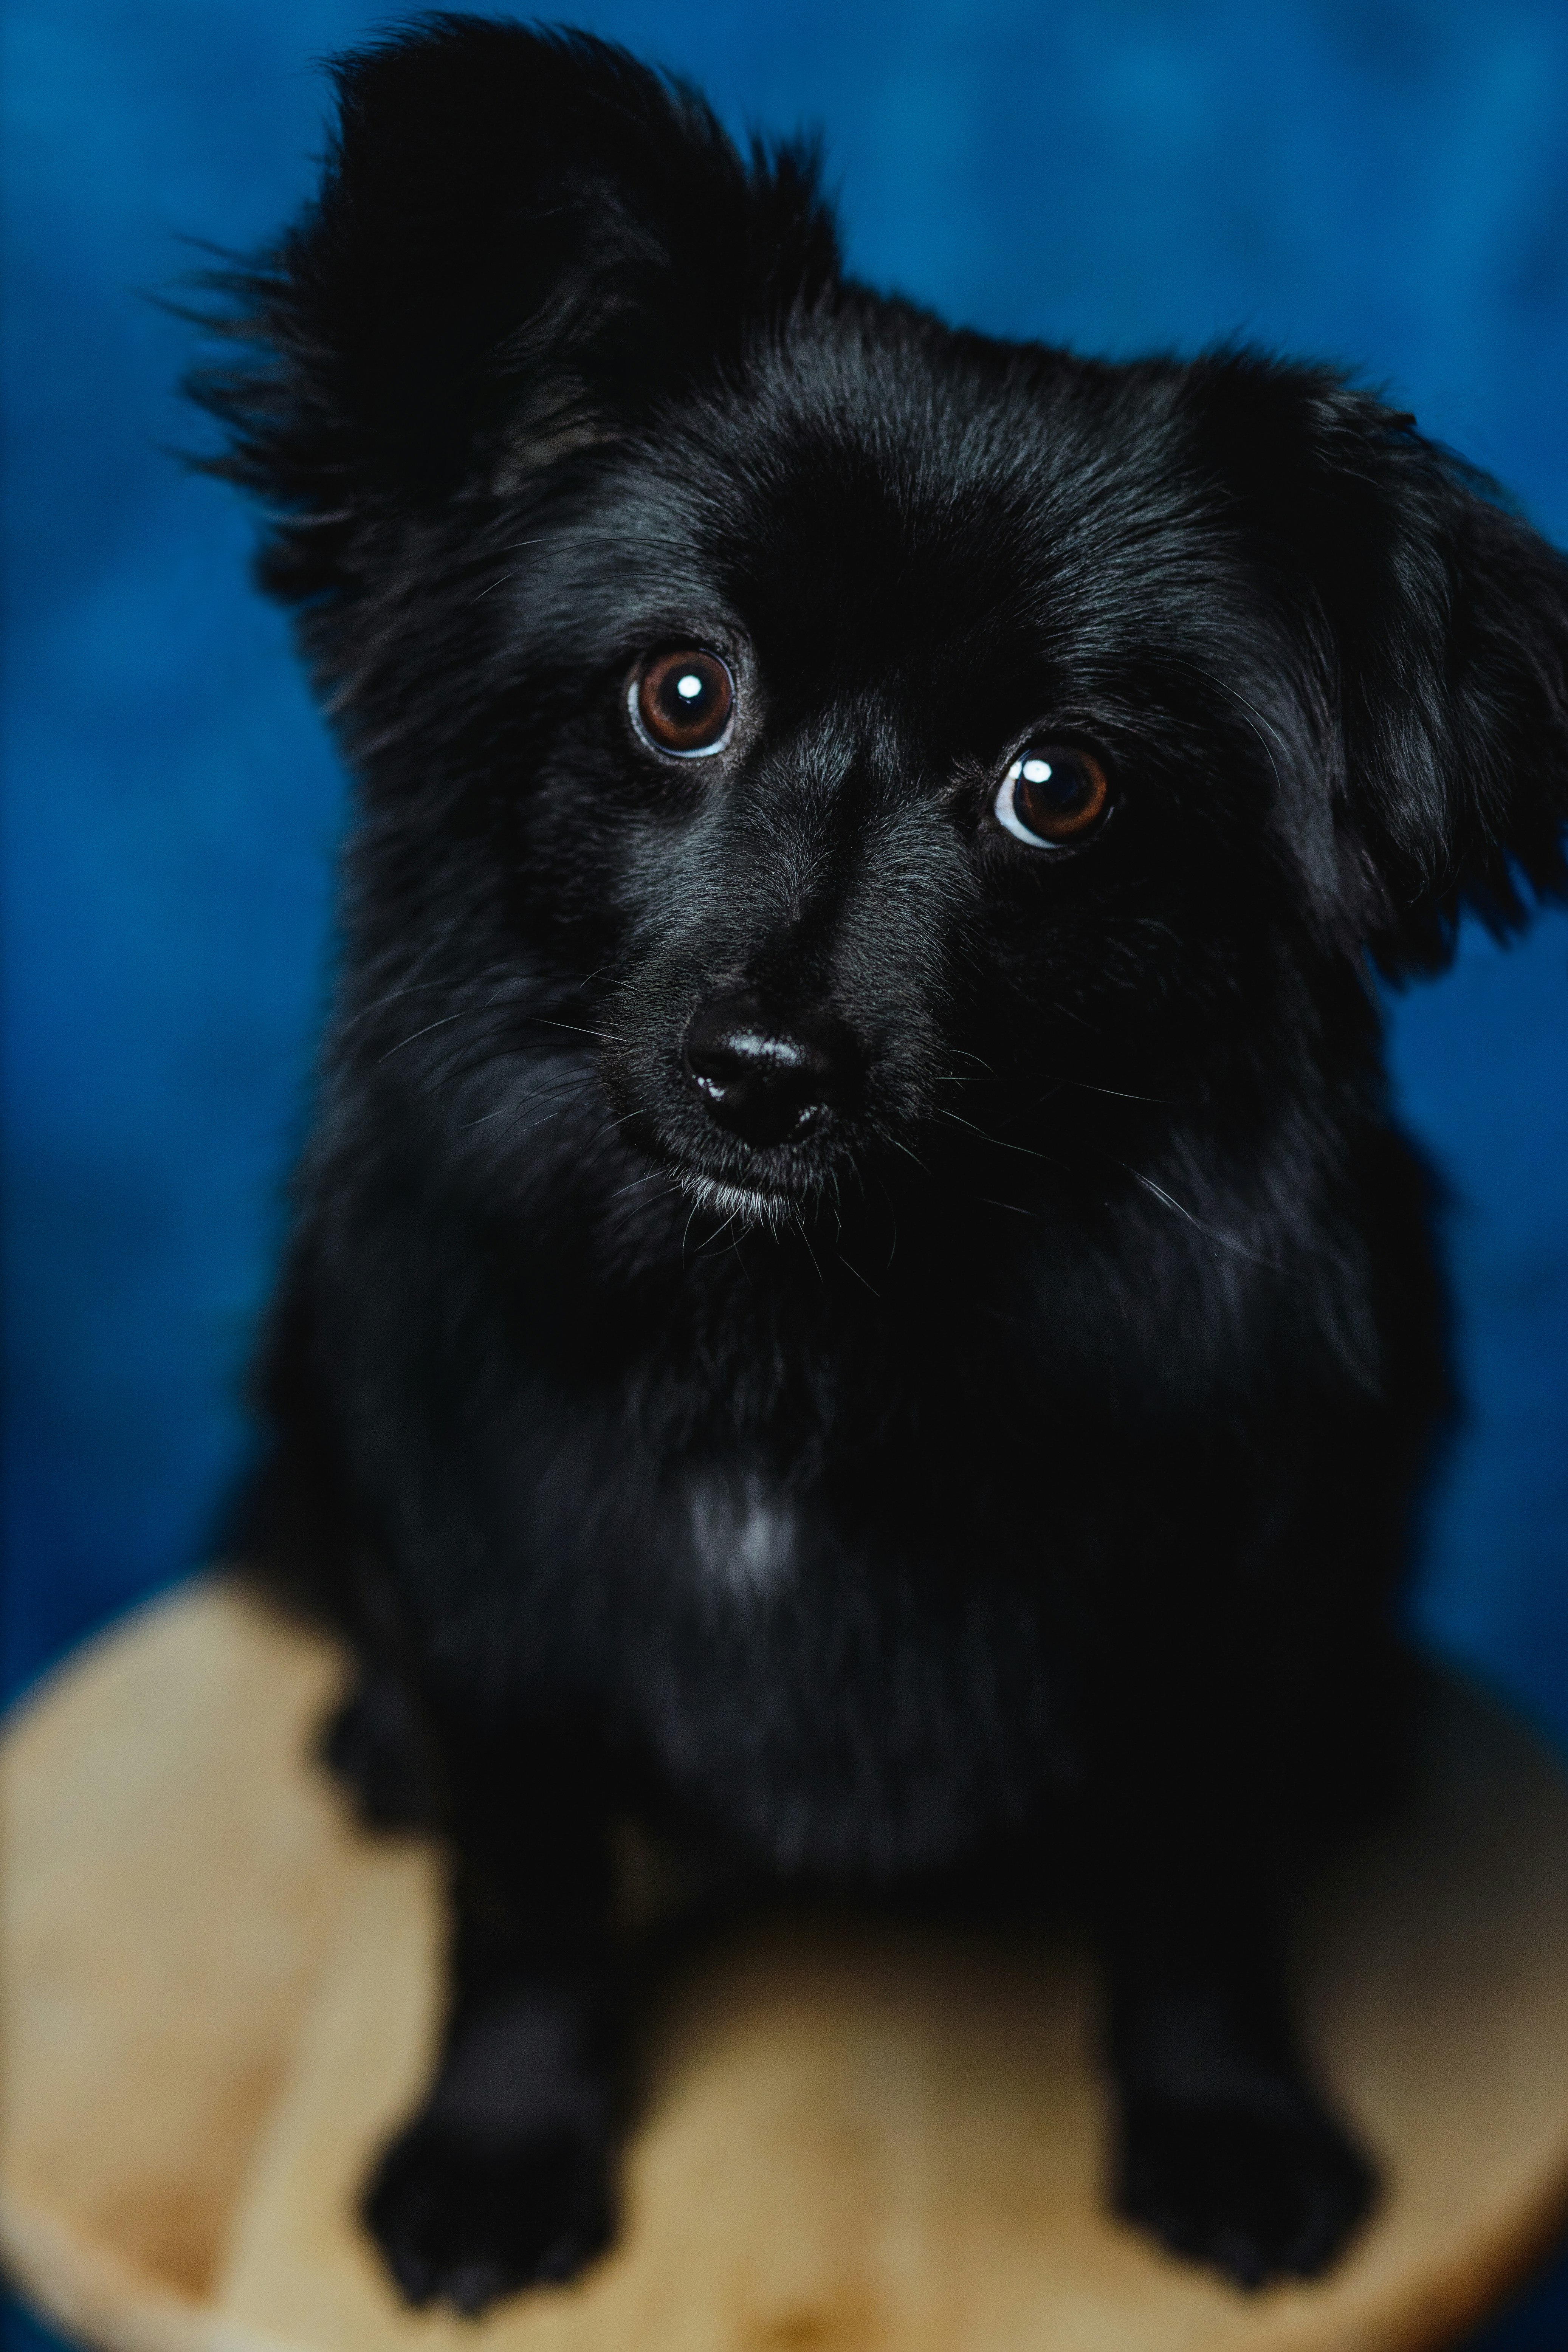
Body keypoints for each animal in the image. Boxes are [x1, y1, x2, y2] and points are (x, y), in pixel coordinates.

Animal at [192, 18, 1568, 2324]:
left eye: (1056, 789)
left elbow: (1199, 1904)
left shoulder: (1227, 1605)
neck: (802, 1326)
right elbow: (529, 1897)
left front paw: (1228, 2124)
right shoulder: (500, 1602)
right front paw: (499, 2147)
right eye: (680, 691)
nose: (764, 1075)